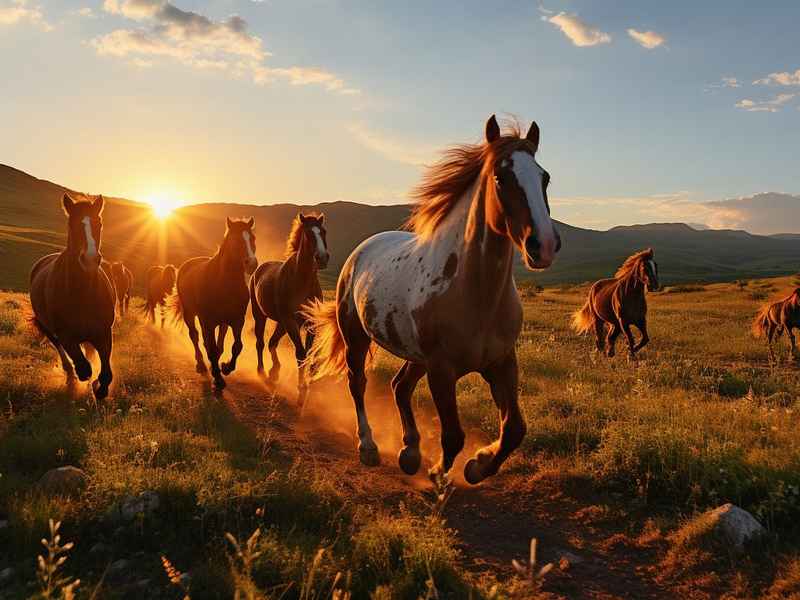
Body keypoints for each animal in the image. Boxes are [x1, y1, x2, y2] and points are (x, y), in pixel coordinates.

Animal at [29, 194, 116, 400]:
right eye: (71, 224)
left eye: (99, 223)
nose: (90, 259)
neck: (83, 293)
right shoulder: (67, 335)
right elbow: (84, 367)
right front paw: (87, 381)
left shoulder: (104, 332)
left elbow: (106, 373)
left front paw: (98, 387)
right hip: (47, 327)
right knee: (60, 347)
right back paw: (69, 372)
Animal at [174, 217, 257, 389]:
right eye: (236, 240)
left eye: (252, 238)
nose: (252, 264)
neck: (224, 284)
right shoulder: (209, 322)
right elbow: (212, 347)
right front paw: (218, 378)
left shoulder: (237, 321)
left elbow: (236, 346)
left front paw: (225, 367)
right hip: (190, 314)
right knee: (195, 336)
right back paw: (201, 364)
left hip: (218, 322)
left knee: (213, 343)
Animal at [250, 213, 329, 392]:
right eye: (308, 233)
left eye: (323, 232)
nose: (322, 258)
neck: (302, 282)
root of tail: (258, 270)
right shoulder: (291, 322)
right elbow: (300, 353)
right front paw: (301, 386)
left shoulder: (309, 323)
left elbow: (308, 353)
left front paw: (306, 381)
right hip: (262, 316)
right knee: (261, 343)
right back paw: (261, 371)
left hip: (281, 323)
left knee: (272, 343)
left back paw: (274, 371)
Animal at [304, 115, 561, 485]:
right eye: (501, 177)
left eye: (545, 177)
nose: (545, 245)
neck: (476, 297)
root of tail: (362, 250)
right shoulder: (442, 370)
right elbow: (453, 435)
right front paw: (440, 474)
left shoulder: (502, 363)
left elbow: (514, 429)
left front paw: (477, 465)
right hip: (357, 338)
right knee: (358, 383)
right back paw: (368, 446)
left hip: (416, 356)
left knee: (399, 386)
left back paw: (410, 452)